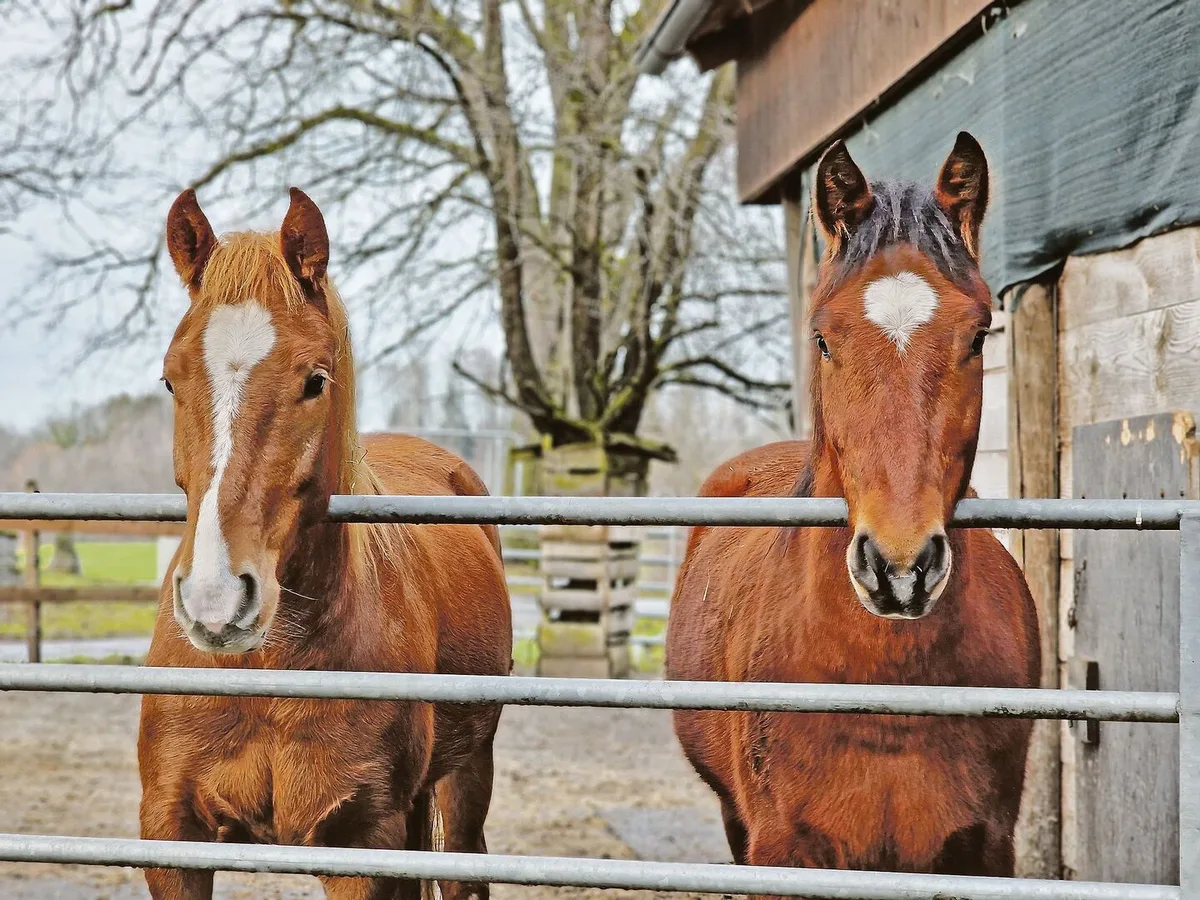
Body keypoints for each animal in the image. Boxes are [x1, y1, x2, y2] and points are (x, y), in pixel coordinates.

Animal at [139, 187, 513, 900]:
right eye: (171, 379)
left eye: (315, 379)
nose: (216, 603)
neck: (268, 668)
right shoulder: (171, 838)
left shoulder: (362, 847)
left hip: (467, 776)